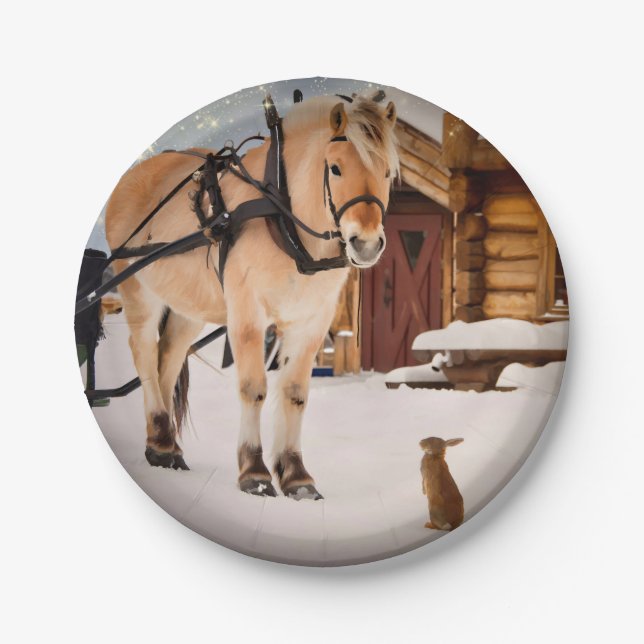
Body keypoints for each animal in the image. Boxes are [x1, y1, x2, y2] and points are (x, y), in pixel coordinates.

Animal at [104, 93, 399, 500]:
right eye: (336, 168)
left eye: (387, 173)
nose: (367, 244)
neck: (285, 219)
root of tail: (132, 176)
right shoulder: (247, 312)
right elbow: (253, 388)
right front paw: (254, 471)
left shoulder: (312, 320)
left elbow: (294, 393)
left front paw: (296, 476)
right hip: (137, 288)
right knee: (144, 350)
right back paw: (162, 440)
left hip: (189, 305)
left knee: (170, 355)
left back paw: (165, 444)